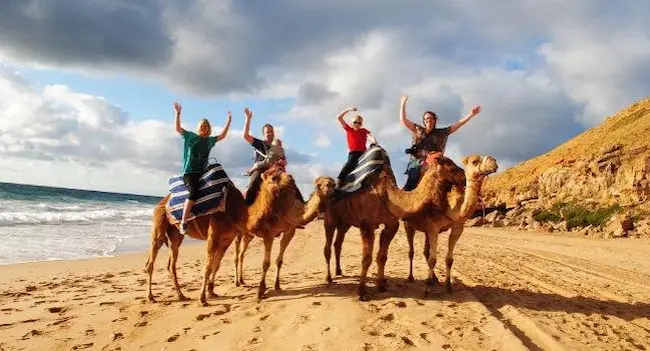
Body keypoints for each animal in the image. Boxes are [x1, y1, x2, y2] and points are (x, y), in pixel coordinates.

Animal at [144, 169, 332, 306]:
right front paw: (203, 298)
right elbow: (208, 266)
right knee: (152, 260)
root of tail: (163, 201)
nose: (330, 185)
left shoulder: (228, 238)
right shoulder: (217, 235)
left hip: (176, 234)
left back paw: (181, 295)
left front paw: (212, 292)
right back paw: (151, 297)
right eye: (273, 177)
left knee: (172, 262)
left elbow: (216, 265)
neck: (238, 211)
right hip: (159, 224)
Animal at [320, 150, 460, 302]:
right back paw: (329, 278)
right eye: (451, 166)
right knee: (328, 246)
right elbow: (366, 258)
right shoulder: (367, 224)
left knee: (338, 243)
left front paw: (381, 286)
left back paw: (339, 271)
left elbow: (382, 256)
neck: (388, 194)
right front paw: (361, 291)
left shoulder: (391, 224)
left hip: (345, 222)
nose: (463, 176)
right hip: (330, 216)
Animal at [402, 155, 498, 296]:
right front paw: (426, 289)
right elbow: (433, 259)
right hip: (408, 225)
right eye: (474, 161)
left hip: (425, 230)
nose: (493, 162)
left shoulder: (457, 227)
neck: (451, 206)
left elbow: (449, 260)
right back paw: (411, 277)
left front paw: (448, 286)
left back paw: (435, 279)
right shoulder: (433, 227)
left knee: (425, 252)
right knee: (411, 252)